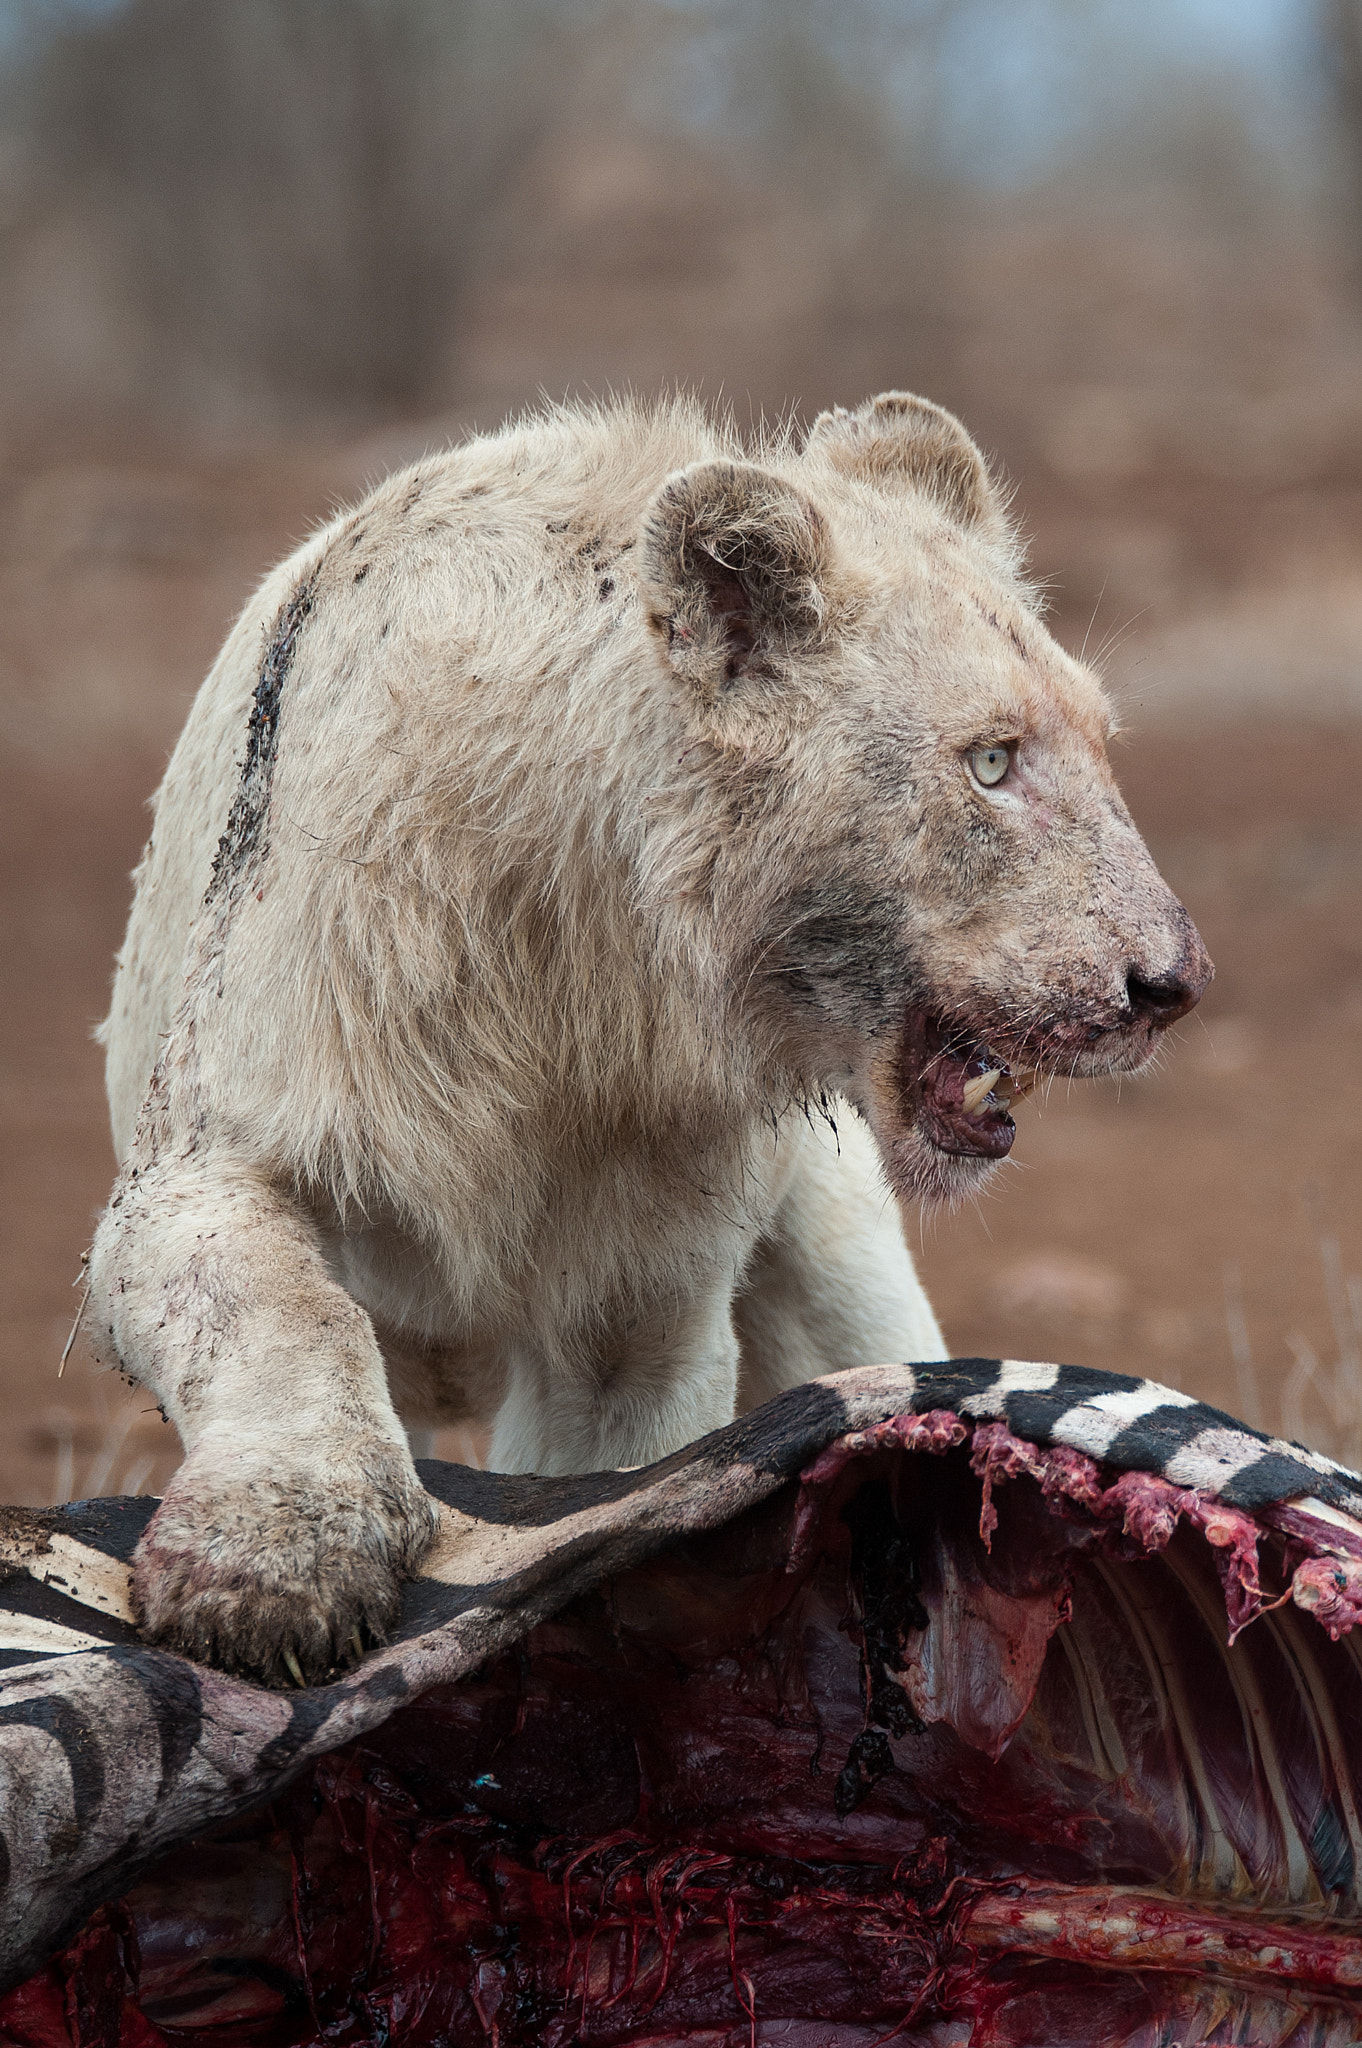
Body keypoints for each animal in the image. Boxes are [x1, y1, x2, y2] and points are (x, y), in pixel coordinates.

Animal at [85, 391, 1210, 1682]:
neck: (578, 964)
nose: (1173, 983)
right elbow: (277, 1312)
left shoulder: (638, 1307)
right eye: (991, 760)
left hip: (844, 1273)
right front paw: (269, 1571)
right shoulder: (206, 1144)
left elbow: (601, 1483)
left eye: (1099, 739)